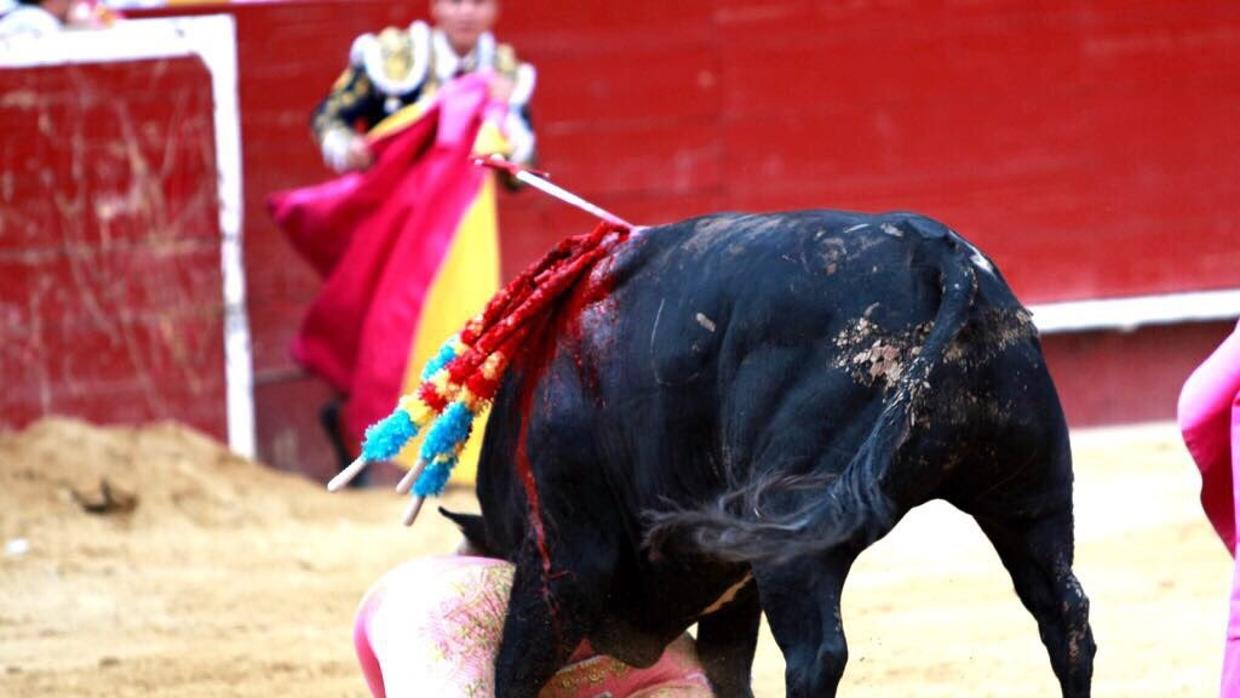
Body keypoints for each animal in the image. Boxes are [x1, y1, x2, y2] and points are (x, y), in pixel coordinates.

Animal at [443, 212, 1096, 698]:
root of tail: (944, 259)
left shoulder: (564, 559)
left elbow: (513, 669)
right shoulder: (736, 586)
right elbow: (728, 669)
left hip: (795, 538)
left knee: (816, 653)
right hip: (1031, 497)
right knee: (1065, 618)